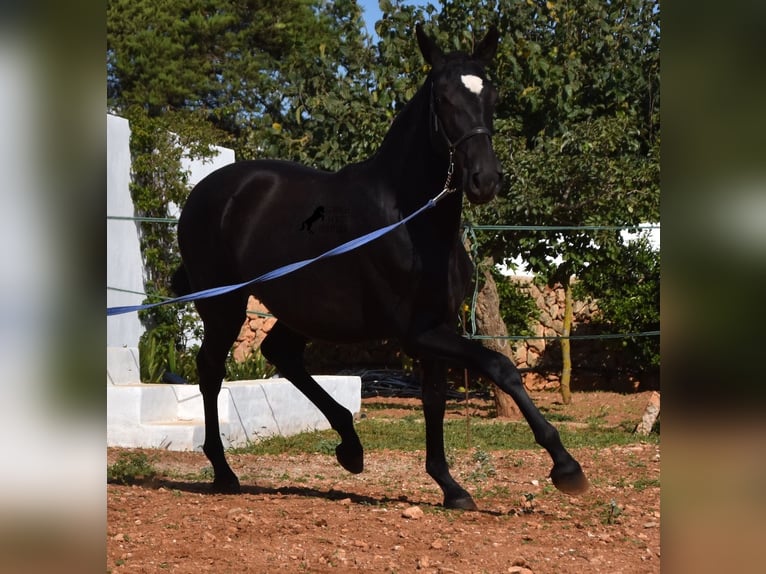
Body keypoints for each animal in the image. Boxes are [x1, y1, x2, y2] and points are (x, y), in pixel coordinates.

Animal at [172, 24, 588, 510]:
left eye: (493, 95)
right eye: (443, 97)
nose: (485, 181)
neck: (411, 220)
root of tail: (206, 191)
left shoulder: (437, 327)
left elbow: (434, 399)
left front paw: (450, 486)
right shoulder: (417, 332)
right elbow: (499, 366)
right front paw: (566, 467)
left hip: (303, 310)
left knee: (280, 354)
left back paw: (350, 447)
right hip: (226, 305)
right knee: (211, 370)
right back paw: (224, 471)